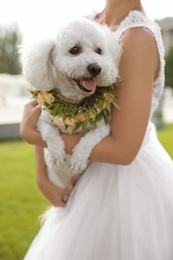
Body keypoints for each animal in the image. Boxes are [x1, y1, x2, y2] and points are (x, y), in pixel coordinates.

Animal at [20, 17, 121, 189]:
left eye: (99, 51)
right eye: (75, 49)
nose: (96, 68)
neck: (73, 104)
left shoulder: (103, 128)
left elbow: (88, 139)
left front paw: (78, 160)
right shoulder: (41, 122)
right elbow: (50, 132)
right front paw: (57, 154)